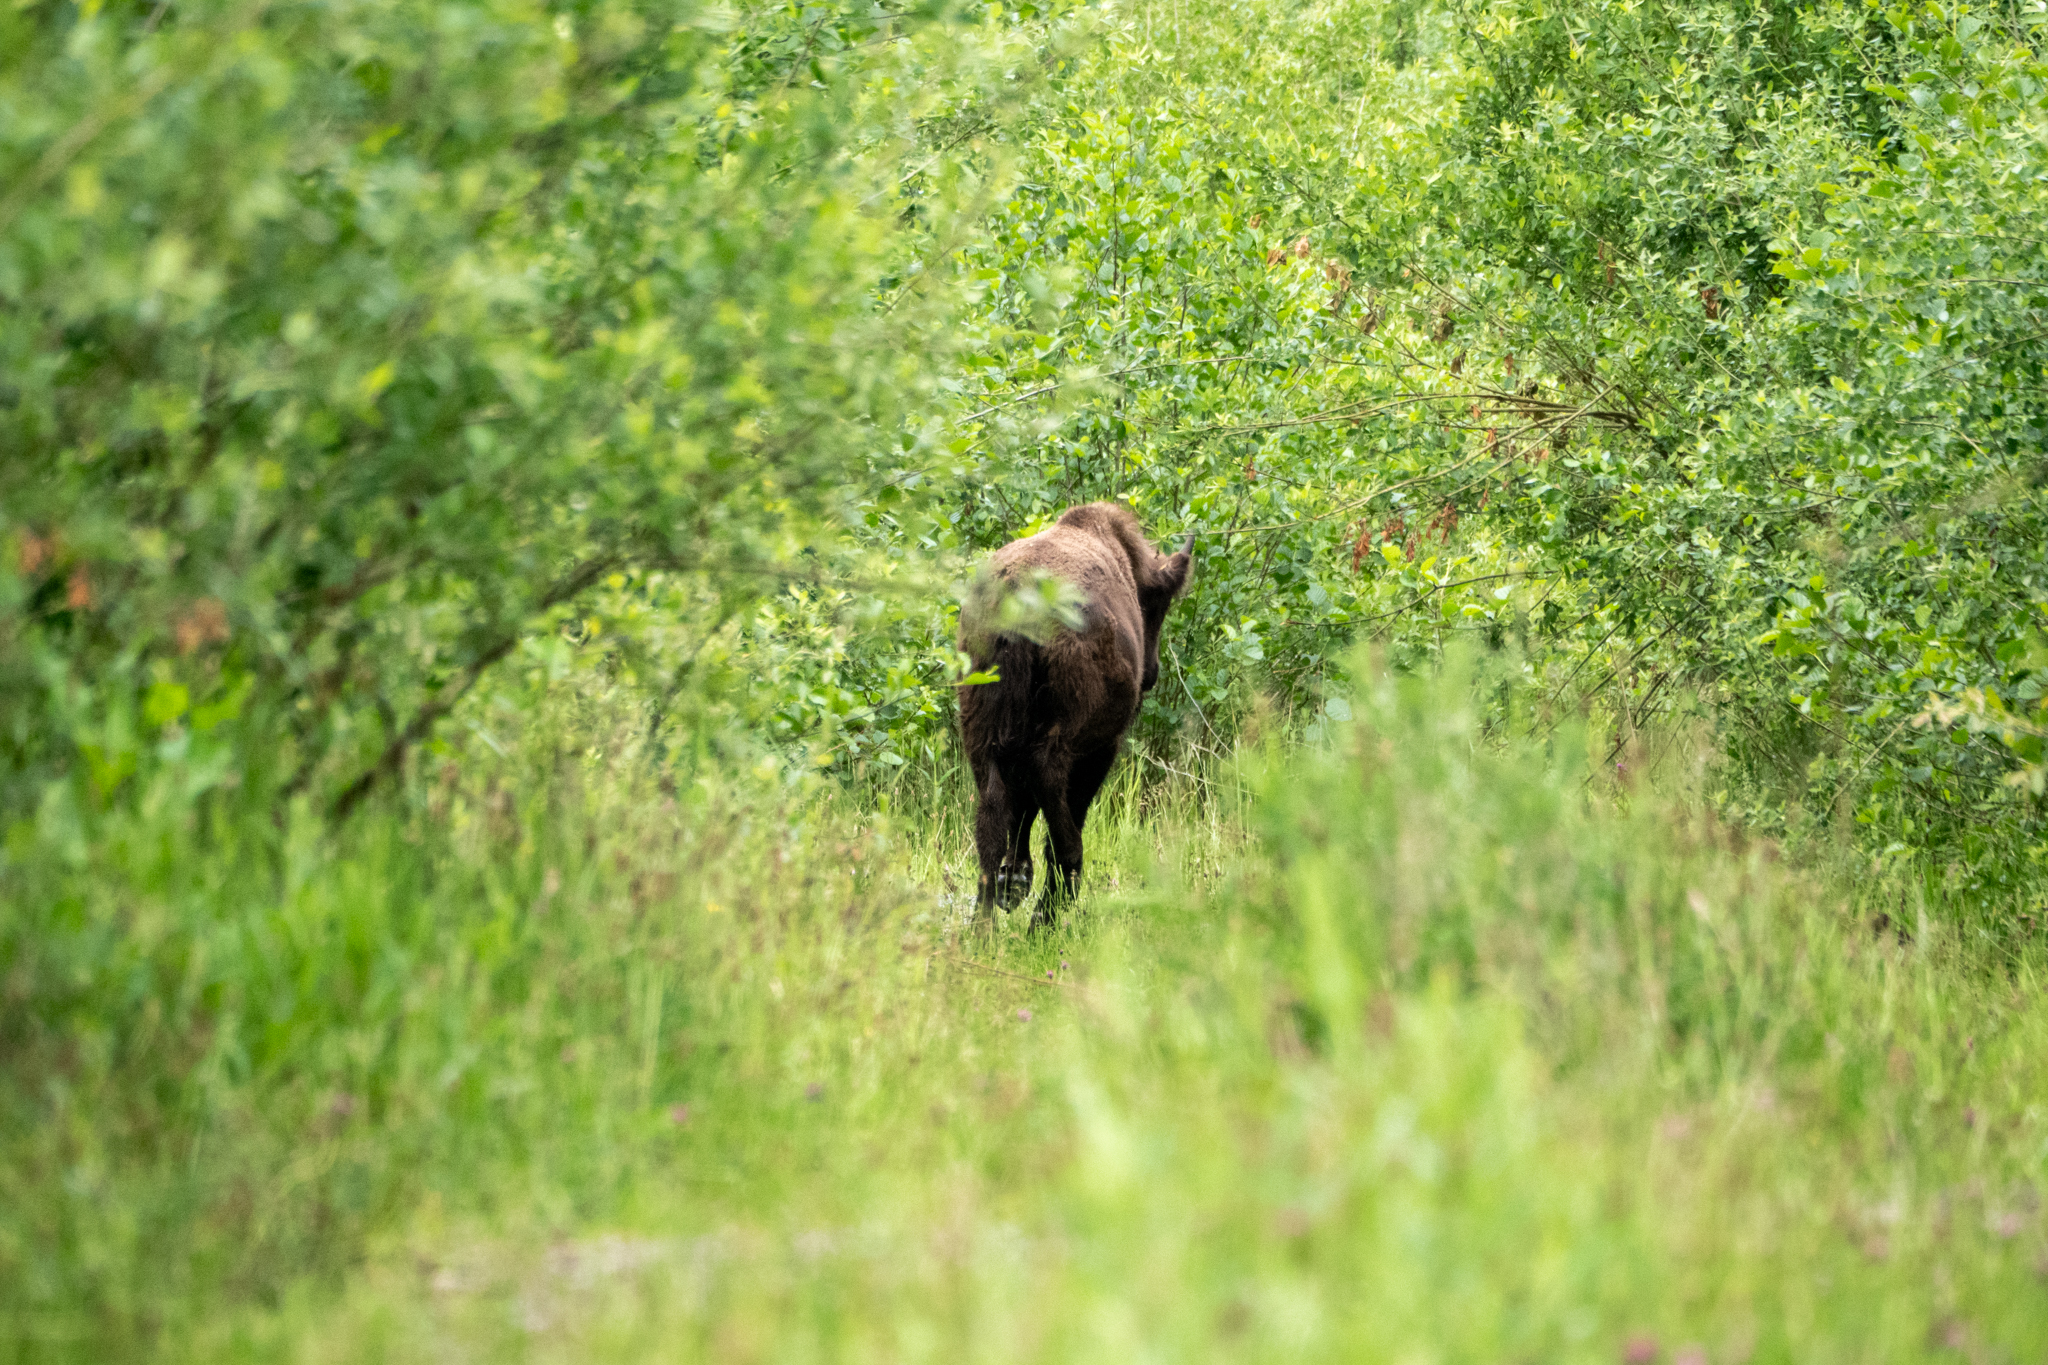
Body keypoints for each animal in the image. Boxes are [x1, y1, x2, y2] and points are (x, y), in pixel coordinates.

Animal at [956, 503, 1194, 931]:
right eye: (1157, 604)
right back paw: (1050, 909)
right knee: (1054, 808)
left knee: (992, 819)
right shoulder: (1103, 747)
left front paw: (1014, 879)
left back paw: (988, 921)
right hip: (1068, 738)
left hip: (980, 732)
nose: (1151, 671)